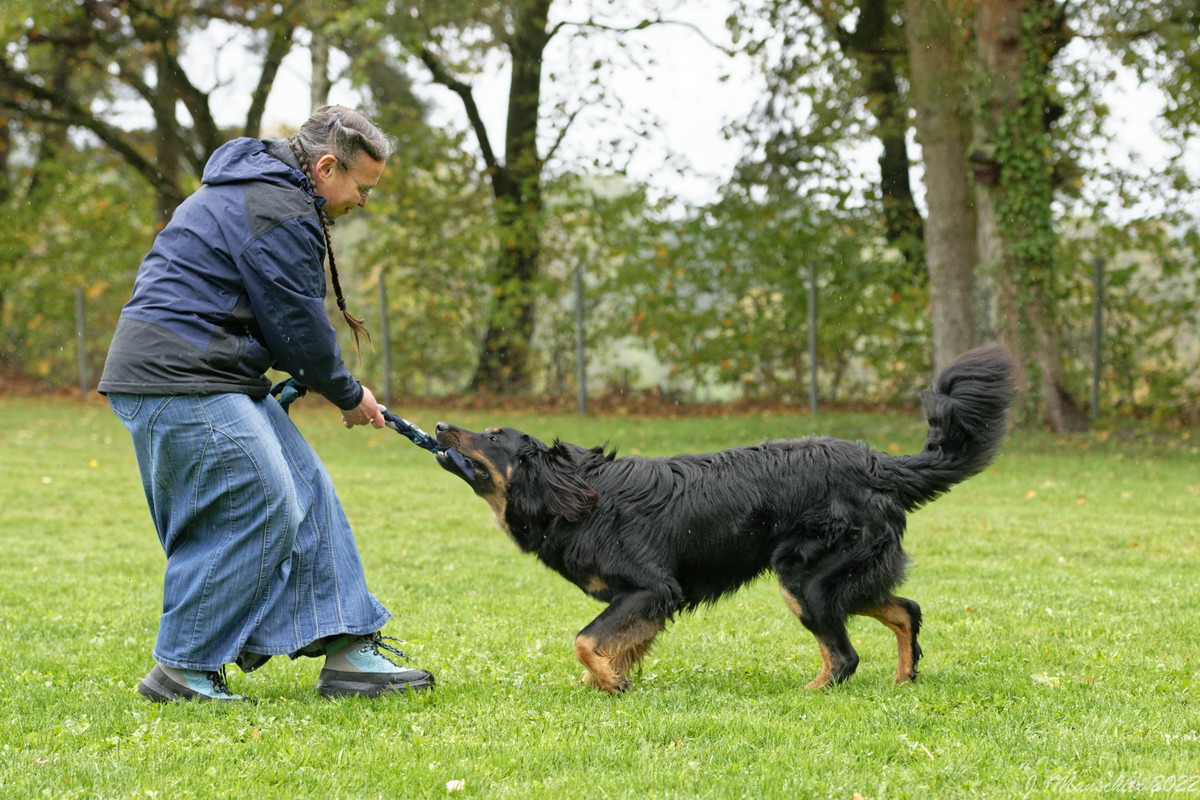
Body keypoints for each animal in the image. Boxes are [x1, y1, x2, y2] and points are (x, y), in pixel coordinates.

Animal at [434, 347, 1012, 690]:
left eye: (492, 435)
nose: (439, 426)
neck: (575, 495)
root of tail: (879, 464)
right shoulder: (647, 600)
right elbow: (614, 646)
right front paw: (610, 684)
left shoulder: (651, 588)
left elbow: (585, 640)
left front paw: (610, 682)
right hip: (838, 577)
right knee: (904, 609)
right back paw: (903, 677)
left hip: (805, 579)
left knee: (844, 655)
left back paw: (812, 693)